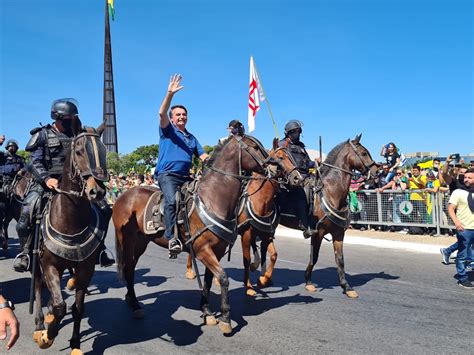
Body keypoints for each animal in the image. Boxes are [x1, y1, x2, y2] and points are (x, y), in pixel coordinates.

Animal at [31, 122, 108, 355]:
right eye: (80, 151)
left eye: (104, 151)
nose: (96, 191)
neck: (70, 219)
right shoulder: (48, 265)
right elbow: (60, 306)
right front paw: (47, 335)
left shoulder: (85, 268)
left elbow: (77, 308)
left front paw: (75, 343)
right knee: (38, 287)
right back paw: (40, 325)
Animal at [112, 135, 298, 336]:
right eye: (255, 147)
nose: (295, 176)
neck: (213, 199)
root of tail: (123, 196)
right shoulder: (204, 250)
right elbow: (223, 278)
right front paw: (225, 318)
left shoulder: (218, 250)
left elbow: (209, 280)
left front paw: (207, 311)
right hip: (128, 241)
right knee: (128, 268)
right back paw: (135, 305)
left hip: (140, 243)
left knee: (131, 267)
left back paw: (131, 299)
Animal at [278, 135, 378, 298]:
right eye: (363, 153)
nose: (376, 171)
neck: (331, 192)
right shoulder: (317, 233)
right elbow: (314, 256)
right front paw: (308, 282)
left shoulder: (338, 233)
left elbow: (340, 259)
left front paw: (346, 287)